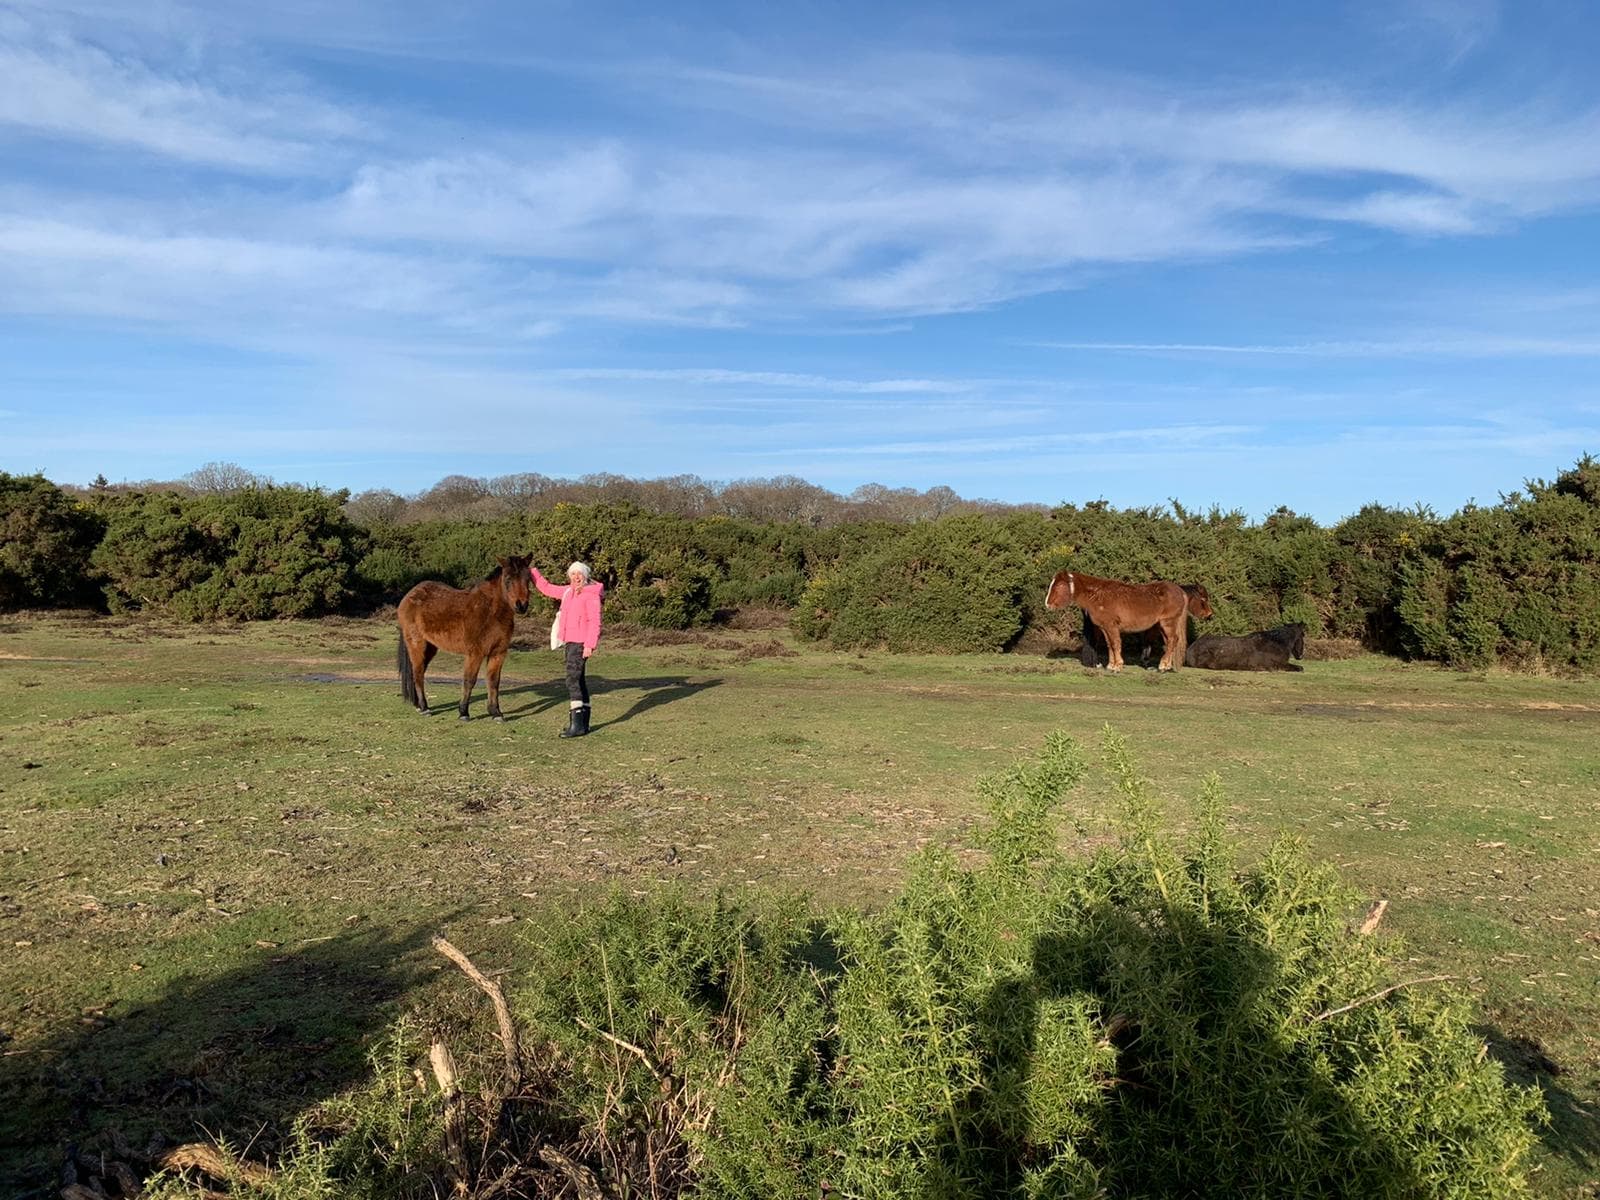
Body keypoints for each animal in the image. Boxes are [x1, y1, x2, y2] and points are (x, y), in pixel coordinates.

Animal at [397, 555, 532, 720]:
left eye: (528, 578)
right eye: (507, 579)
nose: (521, 605)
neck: (490, 612)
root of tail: (410, 595)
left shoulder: (498, 653)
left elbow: (494, 681)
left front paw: (496, 712)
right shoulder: (475, 653)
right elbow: (469, 680)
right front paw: (463, 712)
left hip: (430, 647)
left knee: (419, 672)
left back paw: (418, 705)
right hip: (417, 644)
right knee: (417, 674)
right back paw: (424, 708)